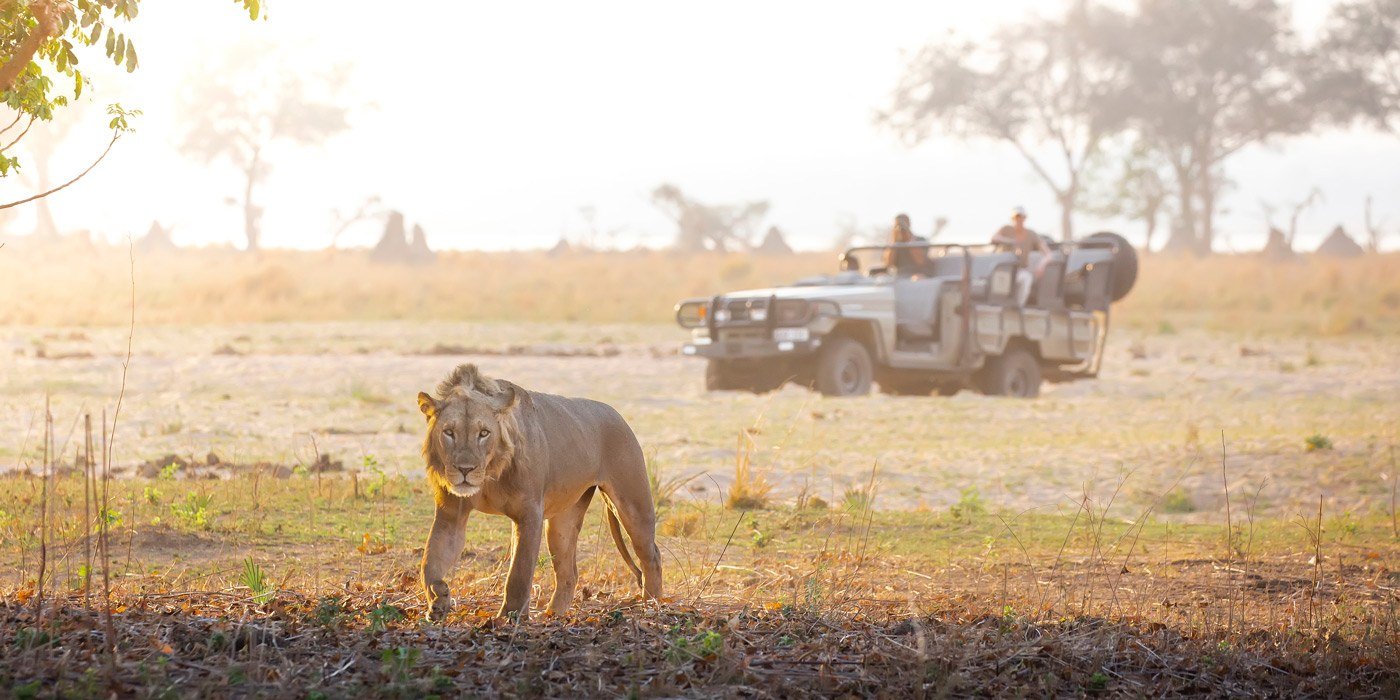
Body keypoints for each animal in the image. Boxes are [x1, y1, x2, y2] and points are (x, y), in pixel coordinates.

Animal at [416, 363, 662, 620]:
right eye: (449, 432)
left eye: (483, 433)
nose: (465, 469)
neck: (490, 473)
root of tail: (615, 412)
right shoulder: (451, 515)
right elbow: (429, 561)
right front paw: (438, 599)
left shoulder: (529, 513)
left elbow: (519, 573)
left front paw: (509, 617)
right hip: (562, 522)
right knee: (568, 573)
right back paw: (552, 616)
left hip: (633, 505)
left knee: (652, 557)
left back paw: (651, 606)